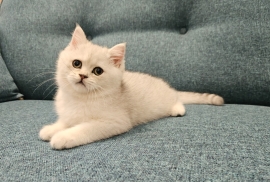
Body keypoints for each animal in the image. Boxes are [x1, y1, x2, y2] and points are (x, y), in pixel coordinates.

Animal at [39, 23, 225, 149]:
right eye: (76, 63)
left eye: (97, 71)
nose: (82, 76)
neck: (80, 98)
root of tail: (167, 86)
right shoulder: (69, 114)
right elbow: (66, 121)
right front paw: (52, 129)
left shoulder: (115, 122)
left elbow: (84, 128)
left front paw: (63, 137)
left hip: (168, 100)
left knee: (177, 100)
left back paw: (177, 109)